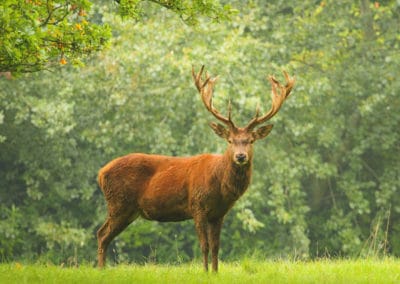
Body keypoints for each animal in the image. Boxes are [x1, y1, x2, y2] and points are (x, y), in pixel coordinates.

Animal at [97, 65, 296, 272]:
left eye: (250, 140)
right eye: (230, 140)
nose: (240, 156)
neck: (220, 187)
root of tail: (101, 173)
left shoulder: (219, 214)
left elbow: (216, 246)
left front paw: (216, 272)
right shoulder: (197, 206)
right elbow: (204, 245)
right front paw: (205, 272)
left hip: (128, 210)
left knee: (103, 234)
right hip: (119, 203)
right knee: (102, 235)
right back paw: (101, 269)